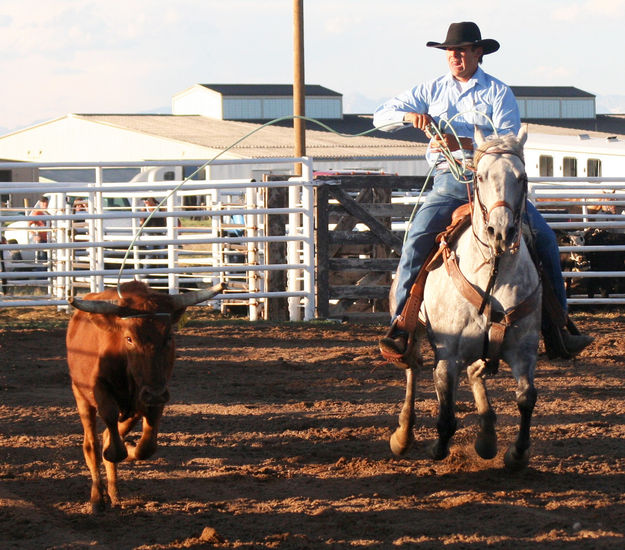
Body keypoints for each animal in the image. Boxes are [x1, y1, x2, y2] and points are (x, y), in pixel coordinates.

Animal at [390, 127, 540, 472]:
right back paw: (403, 435)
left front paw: (516, 454)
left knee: (475, 374)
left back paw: (487, 438)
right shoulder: (448, 353)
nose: (501, 232)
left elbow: (526, 397)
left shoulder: (524, 349)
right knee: (411, 368)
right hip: (413, 329)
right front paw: (436, 448)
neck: (494, 273)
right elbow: (446, 413)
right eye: (481, 176)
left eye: (522, 177)